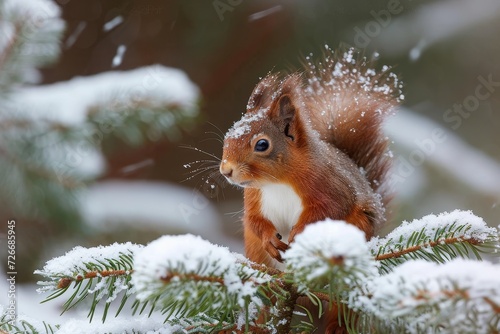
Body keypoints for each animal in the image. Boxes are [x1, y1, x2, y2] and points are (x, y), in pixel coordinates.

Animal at [219, 47, 402, 268]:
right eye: (228, 136)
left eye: (262, 145)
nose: (226, 170)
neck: (277, 182)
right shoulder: (254, 197)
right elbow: (253, 220)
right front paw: (269, 238)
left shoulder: (329, 184)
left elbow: (331, 208)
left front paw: (298, 232)